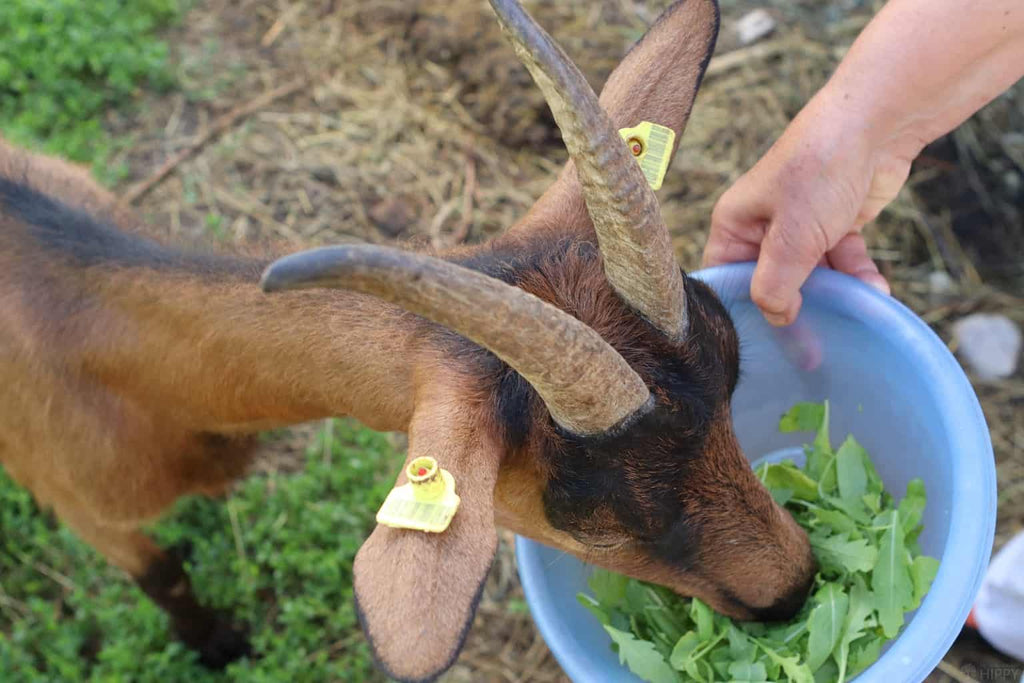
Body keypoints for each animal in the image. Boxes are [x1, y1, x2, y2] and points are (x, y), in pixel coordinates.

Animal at [0, 0, 816, 680]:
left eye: (732, 358)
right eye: (588, 511)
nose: (797, 586)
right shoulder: (80, 502)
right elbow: (162, 570)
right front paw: (219, 643)